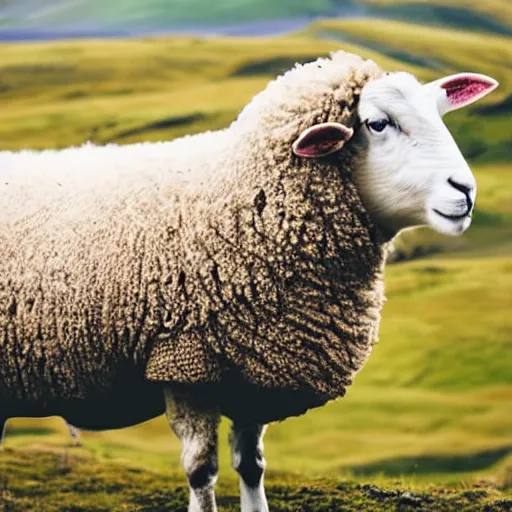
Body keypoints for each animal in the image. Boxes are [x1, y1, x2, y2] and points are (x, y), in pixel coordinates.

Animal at [0, 49, 496, 512]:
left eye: (439, 111)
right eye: (377, 123)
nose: (466, 190)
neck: (240, 198)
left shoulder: (255, 367)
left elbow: (251, 465)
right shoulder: (185, 363)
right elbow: (201, 470)